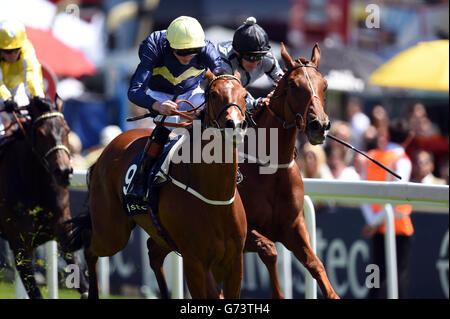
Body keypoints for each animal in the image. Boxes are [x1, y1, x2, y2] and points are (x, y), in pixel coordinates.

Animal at [0, 97, 89, 300]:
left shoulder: (63, 231)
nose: (64, 172)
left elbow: (84, 285)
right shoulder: (20, 245)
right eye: (41, 133)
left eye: (67, 130)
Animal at [67, 72, 248, 300]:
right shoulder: (195, 262)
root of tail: (105, 152)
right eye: (214, 94)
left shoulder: (234, 262)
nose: (235, 125)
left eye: (245, 94)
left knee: (153, 253)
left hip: (158, 234)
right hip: (112, 232)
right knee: (89, 246)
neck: (216, 197)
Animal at [147, 43, 338, 300]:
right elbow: (269, 250)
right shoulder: (243, 235)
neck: (270, 167)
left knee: (154, 251)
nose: (320, 125)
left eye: (324, 84)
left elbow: (315, 263)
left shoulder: (294, 225)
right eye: (293, 85)